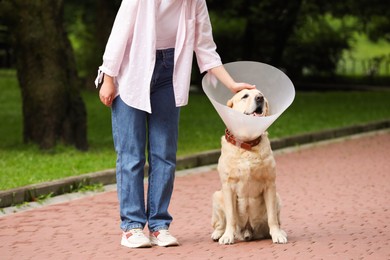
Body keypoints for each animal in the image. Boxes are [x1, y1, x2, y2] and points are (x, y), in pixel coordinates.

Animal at [212, 88, 288, 245]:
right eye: (245, 96)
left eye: (261, 95)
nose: (259, 98)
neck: (247, 145)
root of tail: (247, 232)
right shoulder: (228, 186)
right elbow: (231, 217)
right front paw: (227, 236)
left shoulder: (270, 184)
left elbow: (272, 217)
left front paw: (277, 235)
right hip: (217, 196)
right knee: (220, 222)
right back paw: (218, 234)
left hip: (277, 198)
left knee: (276, 219)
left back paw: (280, 231)